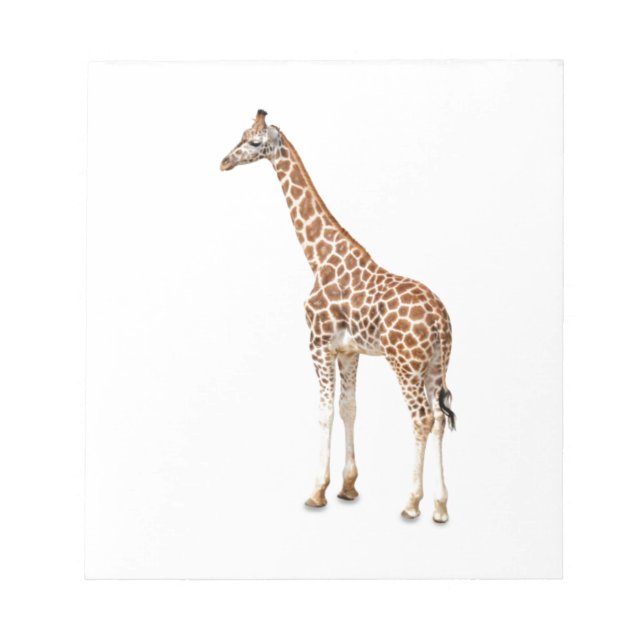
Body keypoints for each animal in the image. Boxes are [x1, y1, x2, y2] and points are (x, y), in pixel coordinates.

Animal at [220, 109, 455, 522]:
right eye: (242, 134)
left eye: (254, 142)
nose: (224, 162)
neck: (319, 257)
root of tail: (440, 318)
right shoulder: (348, 350)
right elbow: (349, 408)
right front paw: (347, 487)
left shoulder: (318, 342)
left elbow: (324, 411)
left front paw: (317, 491)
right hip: (436, 364)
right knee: (441, 419)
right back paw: (440, 507)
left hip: (405, 363)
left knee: (422, 418)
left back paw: (412, 503)